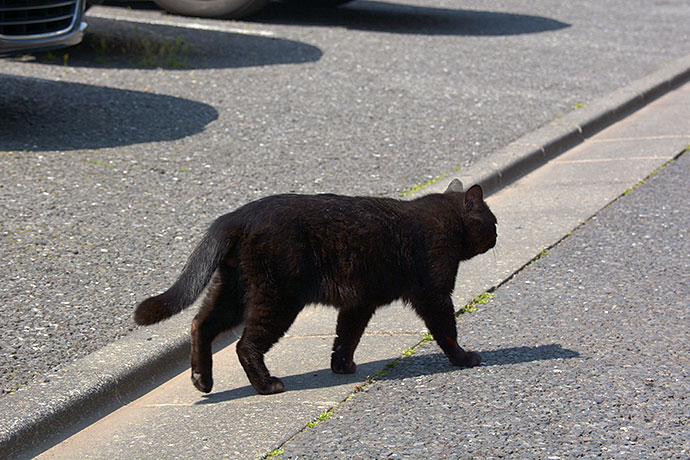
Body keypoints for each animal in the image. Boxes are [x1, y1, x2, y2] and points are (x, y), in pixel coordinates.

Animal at [134, 180, 498, 396]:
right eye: (492, 222)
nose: (498, 235)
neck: (449, 222)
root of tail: (239, 214)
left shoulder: (359, 303)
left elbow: (346, 336)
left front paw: (341, 367)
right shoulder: (435, 294)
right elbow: (447, 331)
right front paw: (464, 358)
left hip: (234, 291)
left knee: (200, 324)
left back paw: (202, 380)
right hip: (276, 298)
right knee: (244, 345)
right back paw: (266, 385)